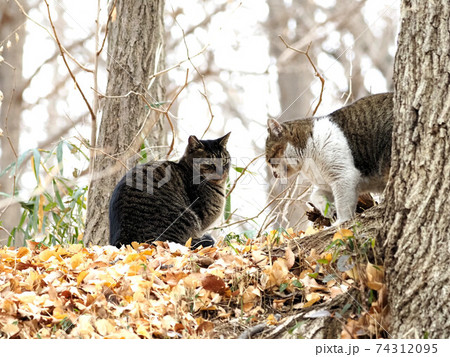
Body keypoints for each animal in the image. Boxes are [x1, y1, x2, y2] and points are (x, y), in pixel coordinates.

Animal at [266, 92, 392, 225]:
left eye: (270, 160)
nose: (274, 174)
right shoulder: (329, 183)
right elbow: (315, 195)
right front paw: (328, 210)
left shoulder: (343, 176)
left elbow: (343, 205)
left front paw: (341, 222)